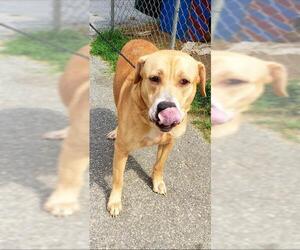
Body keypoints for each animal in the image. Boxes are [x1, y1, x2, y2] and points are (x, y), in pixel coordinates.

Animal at [106, 39, 206, 217]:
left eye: (184, 81)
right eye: (154, 78)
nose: (166, 107)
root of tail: (137, 39)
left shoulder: (168, 143)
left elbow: (159, 165)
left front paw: (157, 181)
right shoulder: (121, 150)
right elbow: (118, 178)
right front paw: (115, 201)